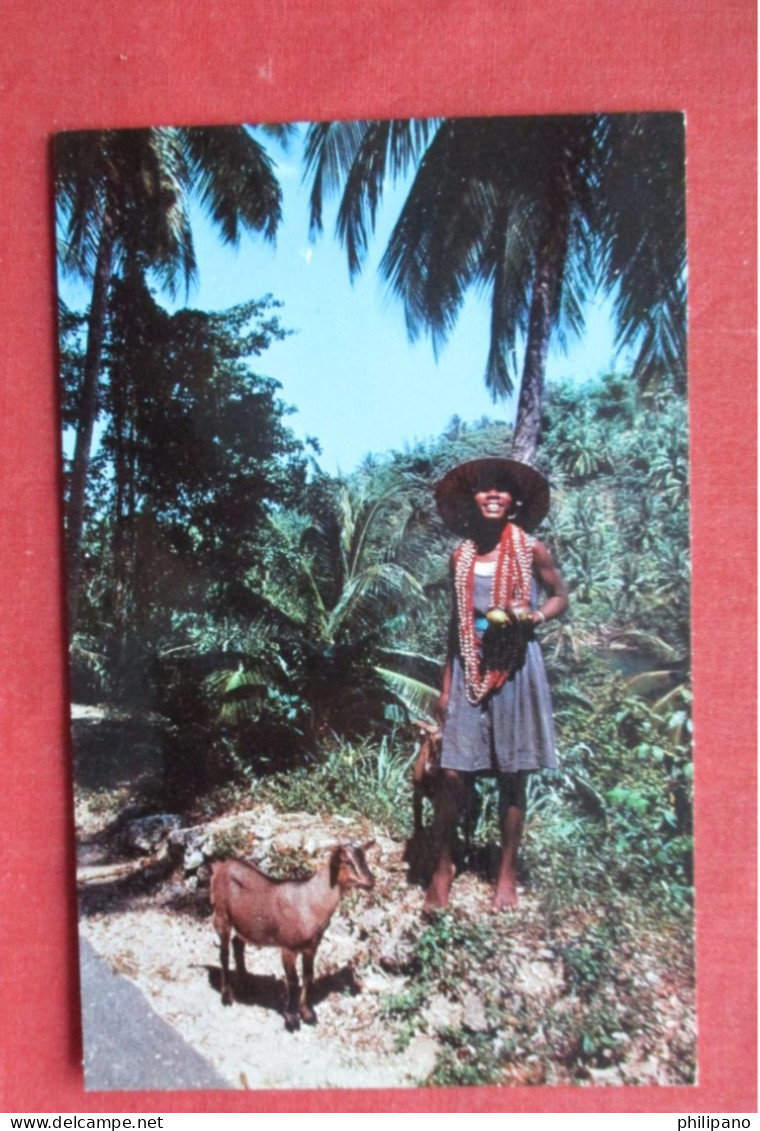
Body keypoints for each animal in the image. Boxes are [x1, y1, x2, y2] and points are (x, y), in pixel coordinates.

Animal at [209, 845, 375, 1031]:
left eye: (364, 858)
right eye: (347, 862)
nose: (371, 880)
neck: (310, 903)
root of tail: (221, 866)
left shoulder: (311, 947)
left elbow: (308, 976)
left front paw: (308, 1013)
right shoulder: (288, 947)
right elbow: (293, 981)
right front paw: (292, 1019)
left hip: (245, 925)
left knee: (237, 944)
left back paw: (247, 984)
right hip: (222, 915)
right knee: (224, 953)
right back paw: (227, 996)